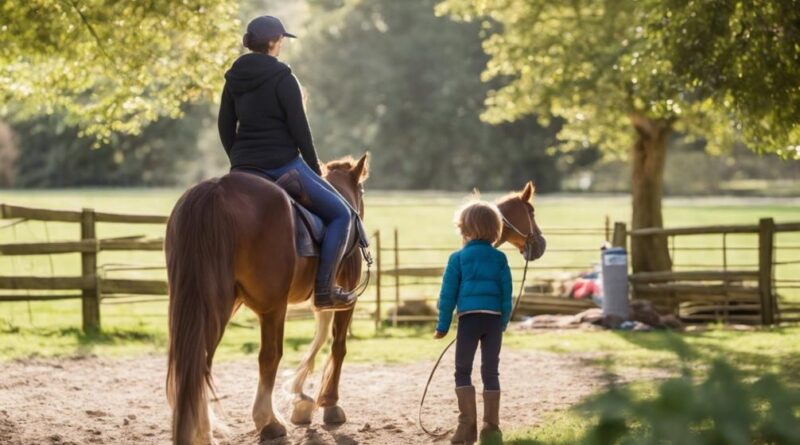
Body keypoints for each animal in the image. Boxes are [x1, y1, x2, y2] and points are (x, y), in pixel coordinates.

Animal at [168, 153, 372, 444]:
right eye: (363, 191)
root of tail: (216, 192)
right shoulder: (344, 295)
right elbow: (337, 345)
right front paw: (328, 403)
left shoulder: (321, 297)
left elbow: (320, 336)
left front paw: (301, 398)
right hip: (270, 307)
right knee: (268, 356)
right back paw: (268, 421)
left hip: (208, 304)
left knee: (199, 361)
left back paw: (202, 432)